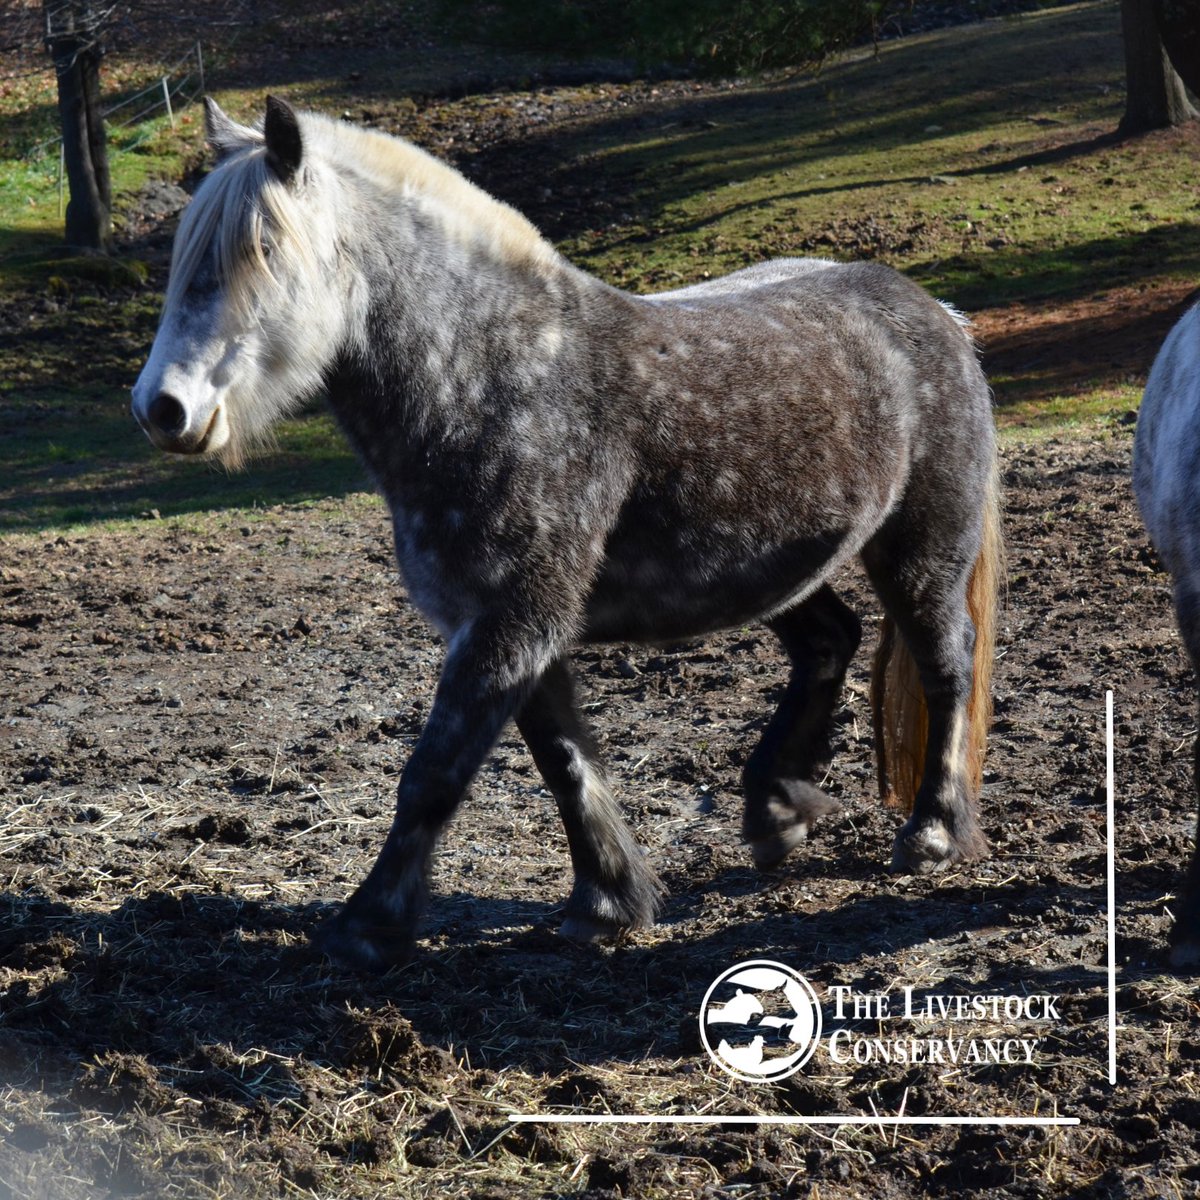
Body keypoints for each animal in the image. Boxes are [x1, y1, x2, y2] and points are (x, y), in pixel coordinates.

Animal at [132, 96, 1002, 971]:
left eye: (262, 254)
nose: (162, 409)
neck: (498, 380)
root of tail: (939, 315)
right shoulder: (512, 625)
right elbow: (562, 761)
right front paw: (606, 902)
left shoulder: (513, 622)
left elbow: (435, 772)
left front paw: (368, 923)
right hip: (774, 569)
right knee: (829, 641)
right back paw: (776, 808)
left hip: (920, 555)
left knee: (945, 666)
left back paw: (931, 833)